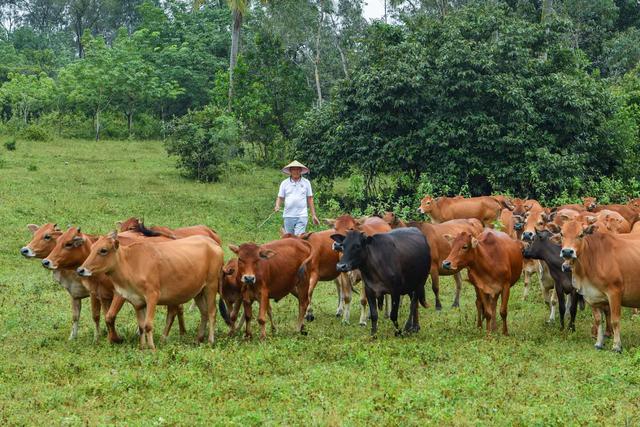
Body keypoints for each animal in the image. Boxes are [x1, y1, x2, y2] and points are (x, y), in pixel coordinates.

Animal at [77, 234, 224, 352]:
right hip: (198, 291)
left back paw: (210, 340)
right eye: (91, 248)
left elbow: (148, 325)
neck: (131, 263)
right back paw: (199, 338)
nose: (80, 270)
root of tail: (213, 243)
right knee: (204, 312)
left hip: (211, 286)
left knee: (212, 312)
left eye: (103, 250)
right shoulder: (137, 302)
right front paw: (142, 347)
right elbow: (141, 326)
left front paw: (152, 348)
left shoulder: (152, 296)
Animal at [556, 219, 640, 352]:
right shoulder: (592, 296)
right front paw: (599, 343)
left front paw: (617, 346)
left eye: (581, 234)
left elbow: (615, 320)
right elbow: (598, 320)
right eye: (561, 234)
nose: (567, 251)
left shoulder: (614, 292)